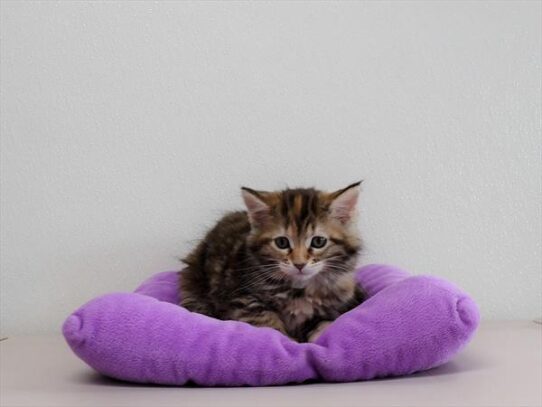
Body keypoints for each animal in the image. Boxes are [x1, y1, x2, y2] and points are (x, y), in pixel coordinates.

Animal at [182, 183, 366, 342]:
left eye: (318, 242)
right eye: (282, 243)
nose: (299, 264)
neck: (299, 291)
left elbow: (326, 322)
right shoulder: (241, 298)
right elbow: (268, 323)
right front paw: (288, 340)